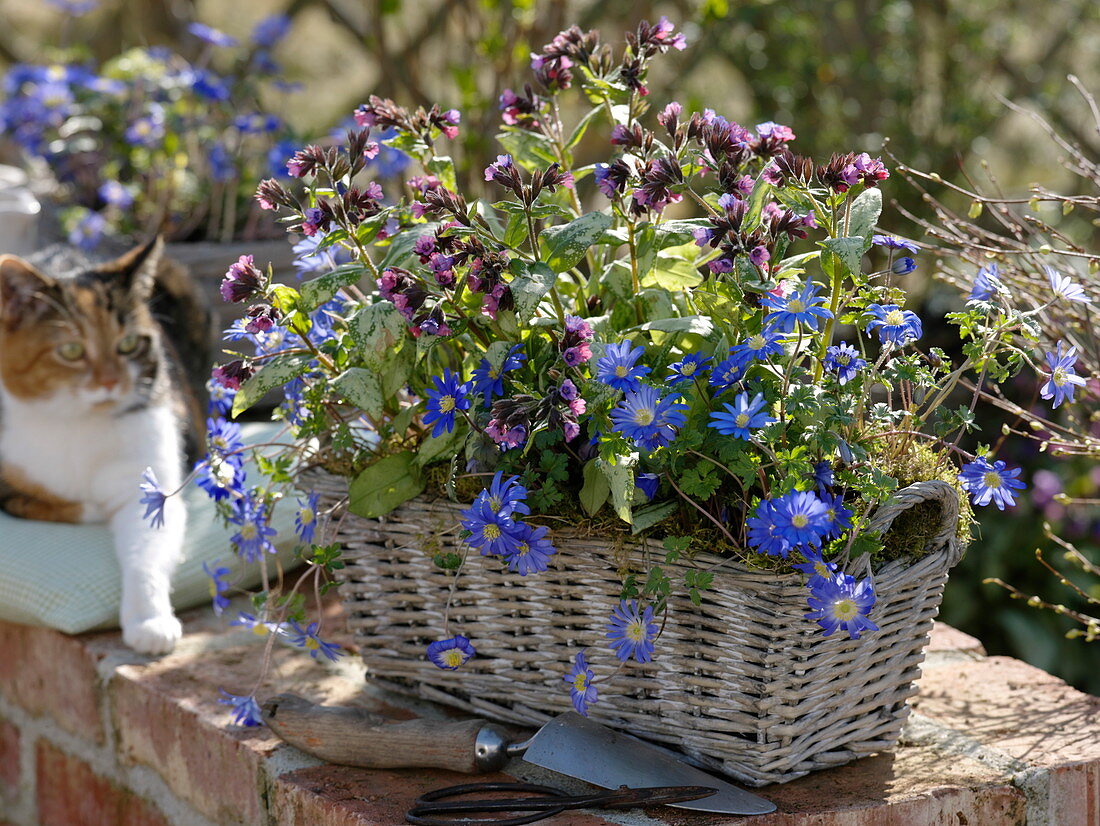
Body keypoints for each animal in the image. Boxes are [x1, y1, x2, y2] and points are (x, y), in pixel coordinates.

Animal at [0, 237, 207, 651]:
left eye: (128, 344)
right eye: (71, 350)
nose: (112, 382)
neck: (75, 420)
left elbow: (146, 549)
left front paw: (149, 621)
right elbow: (34, 501)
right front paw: (91, 507)